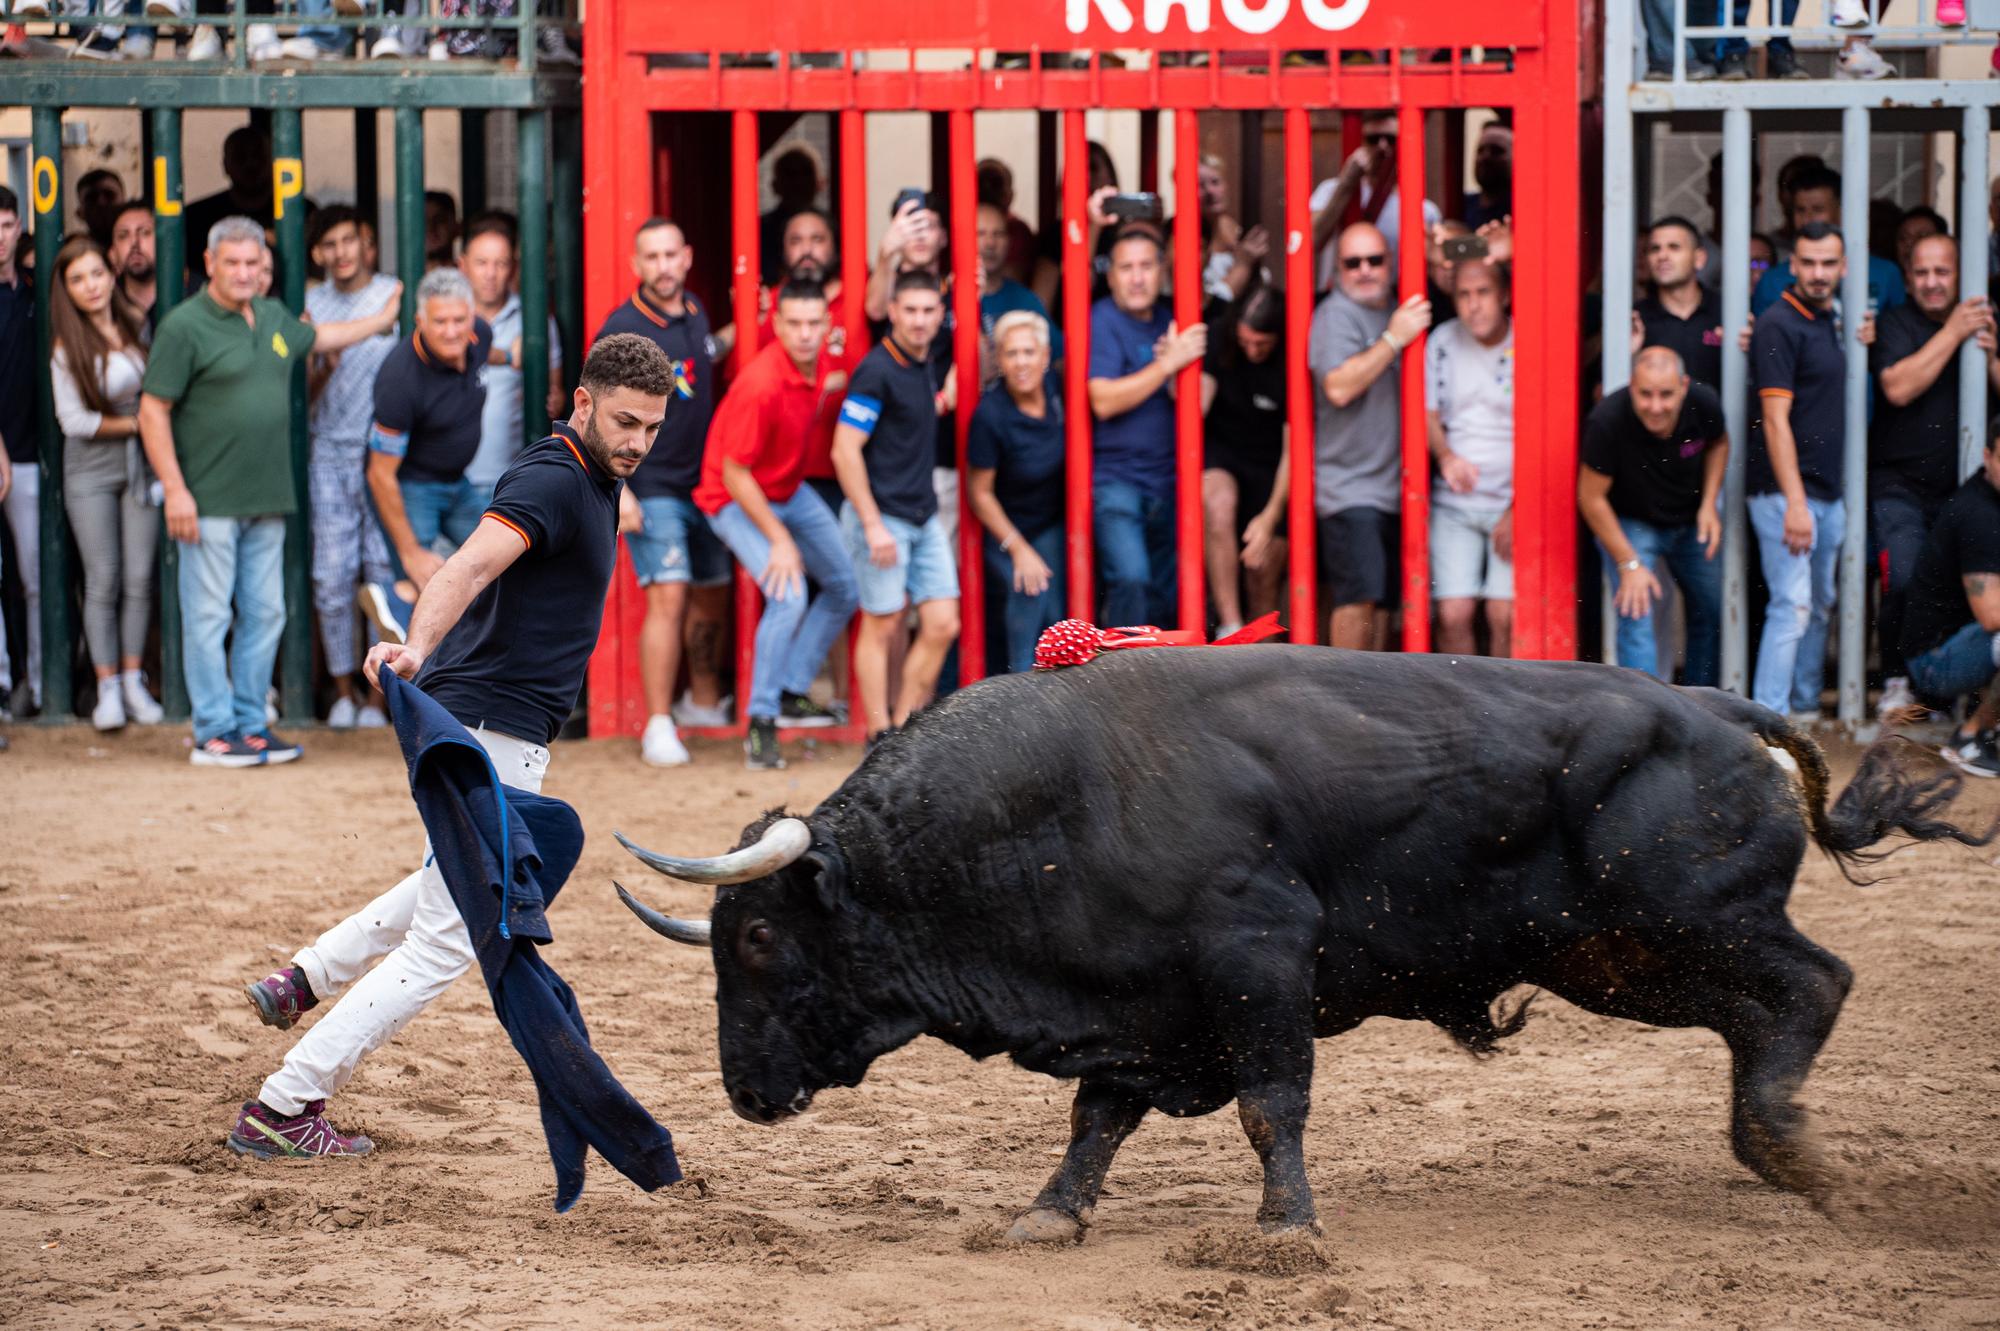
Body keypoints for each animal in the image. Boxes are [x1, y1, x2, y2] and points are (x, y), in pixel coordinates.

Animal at [616, 643, 1992, 1231]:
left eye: (754, 941)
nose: (739, 1092)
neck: (1053, 801)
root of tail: (1712, 704)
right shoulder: (1137, 1005)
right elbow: (1096, 1119)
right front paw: (1048, 1214)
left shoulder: (1255, 962)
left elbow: (1269, 1102)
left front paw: (1286, 1229)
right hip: (1622, 958)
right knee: (1766, 1010)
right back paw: (1774, 1146)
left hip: (1683, 920)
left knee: (1814, 982)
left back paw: (1789, 1148)